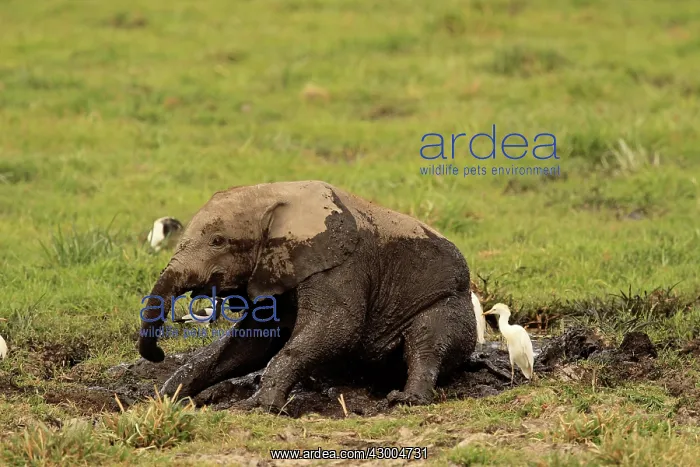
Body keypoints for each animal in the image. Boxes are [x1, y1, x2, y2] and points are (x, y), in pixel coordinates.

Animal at [138, 180, 477, 410]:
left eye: (218, 241)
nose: (159, 354)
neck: (274, 195)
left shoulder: (340, 266)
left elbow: (336, 330)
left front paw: (259, 406)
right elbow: (250, 343)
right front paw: (167, 397)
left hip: (451, 301)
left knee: (427, 340)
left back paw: (406, 399)